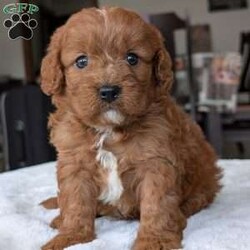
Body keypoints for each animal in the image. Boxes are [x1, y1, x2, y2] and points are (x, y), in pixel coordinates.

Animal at [40, 5, 222, 250]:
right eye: (81, 61)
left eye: (132, 58)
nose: (108, 91)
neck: (109, 129)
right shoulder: (74, 163)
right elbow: (75, 202)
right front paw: (71, 237)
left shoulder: (156, 162)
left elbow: (157, 204)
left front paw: (155, 240)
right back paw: (60, 219)